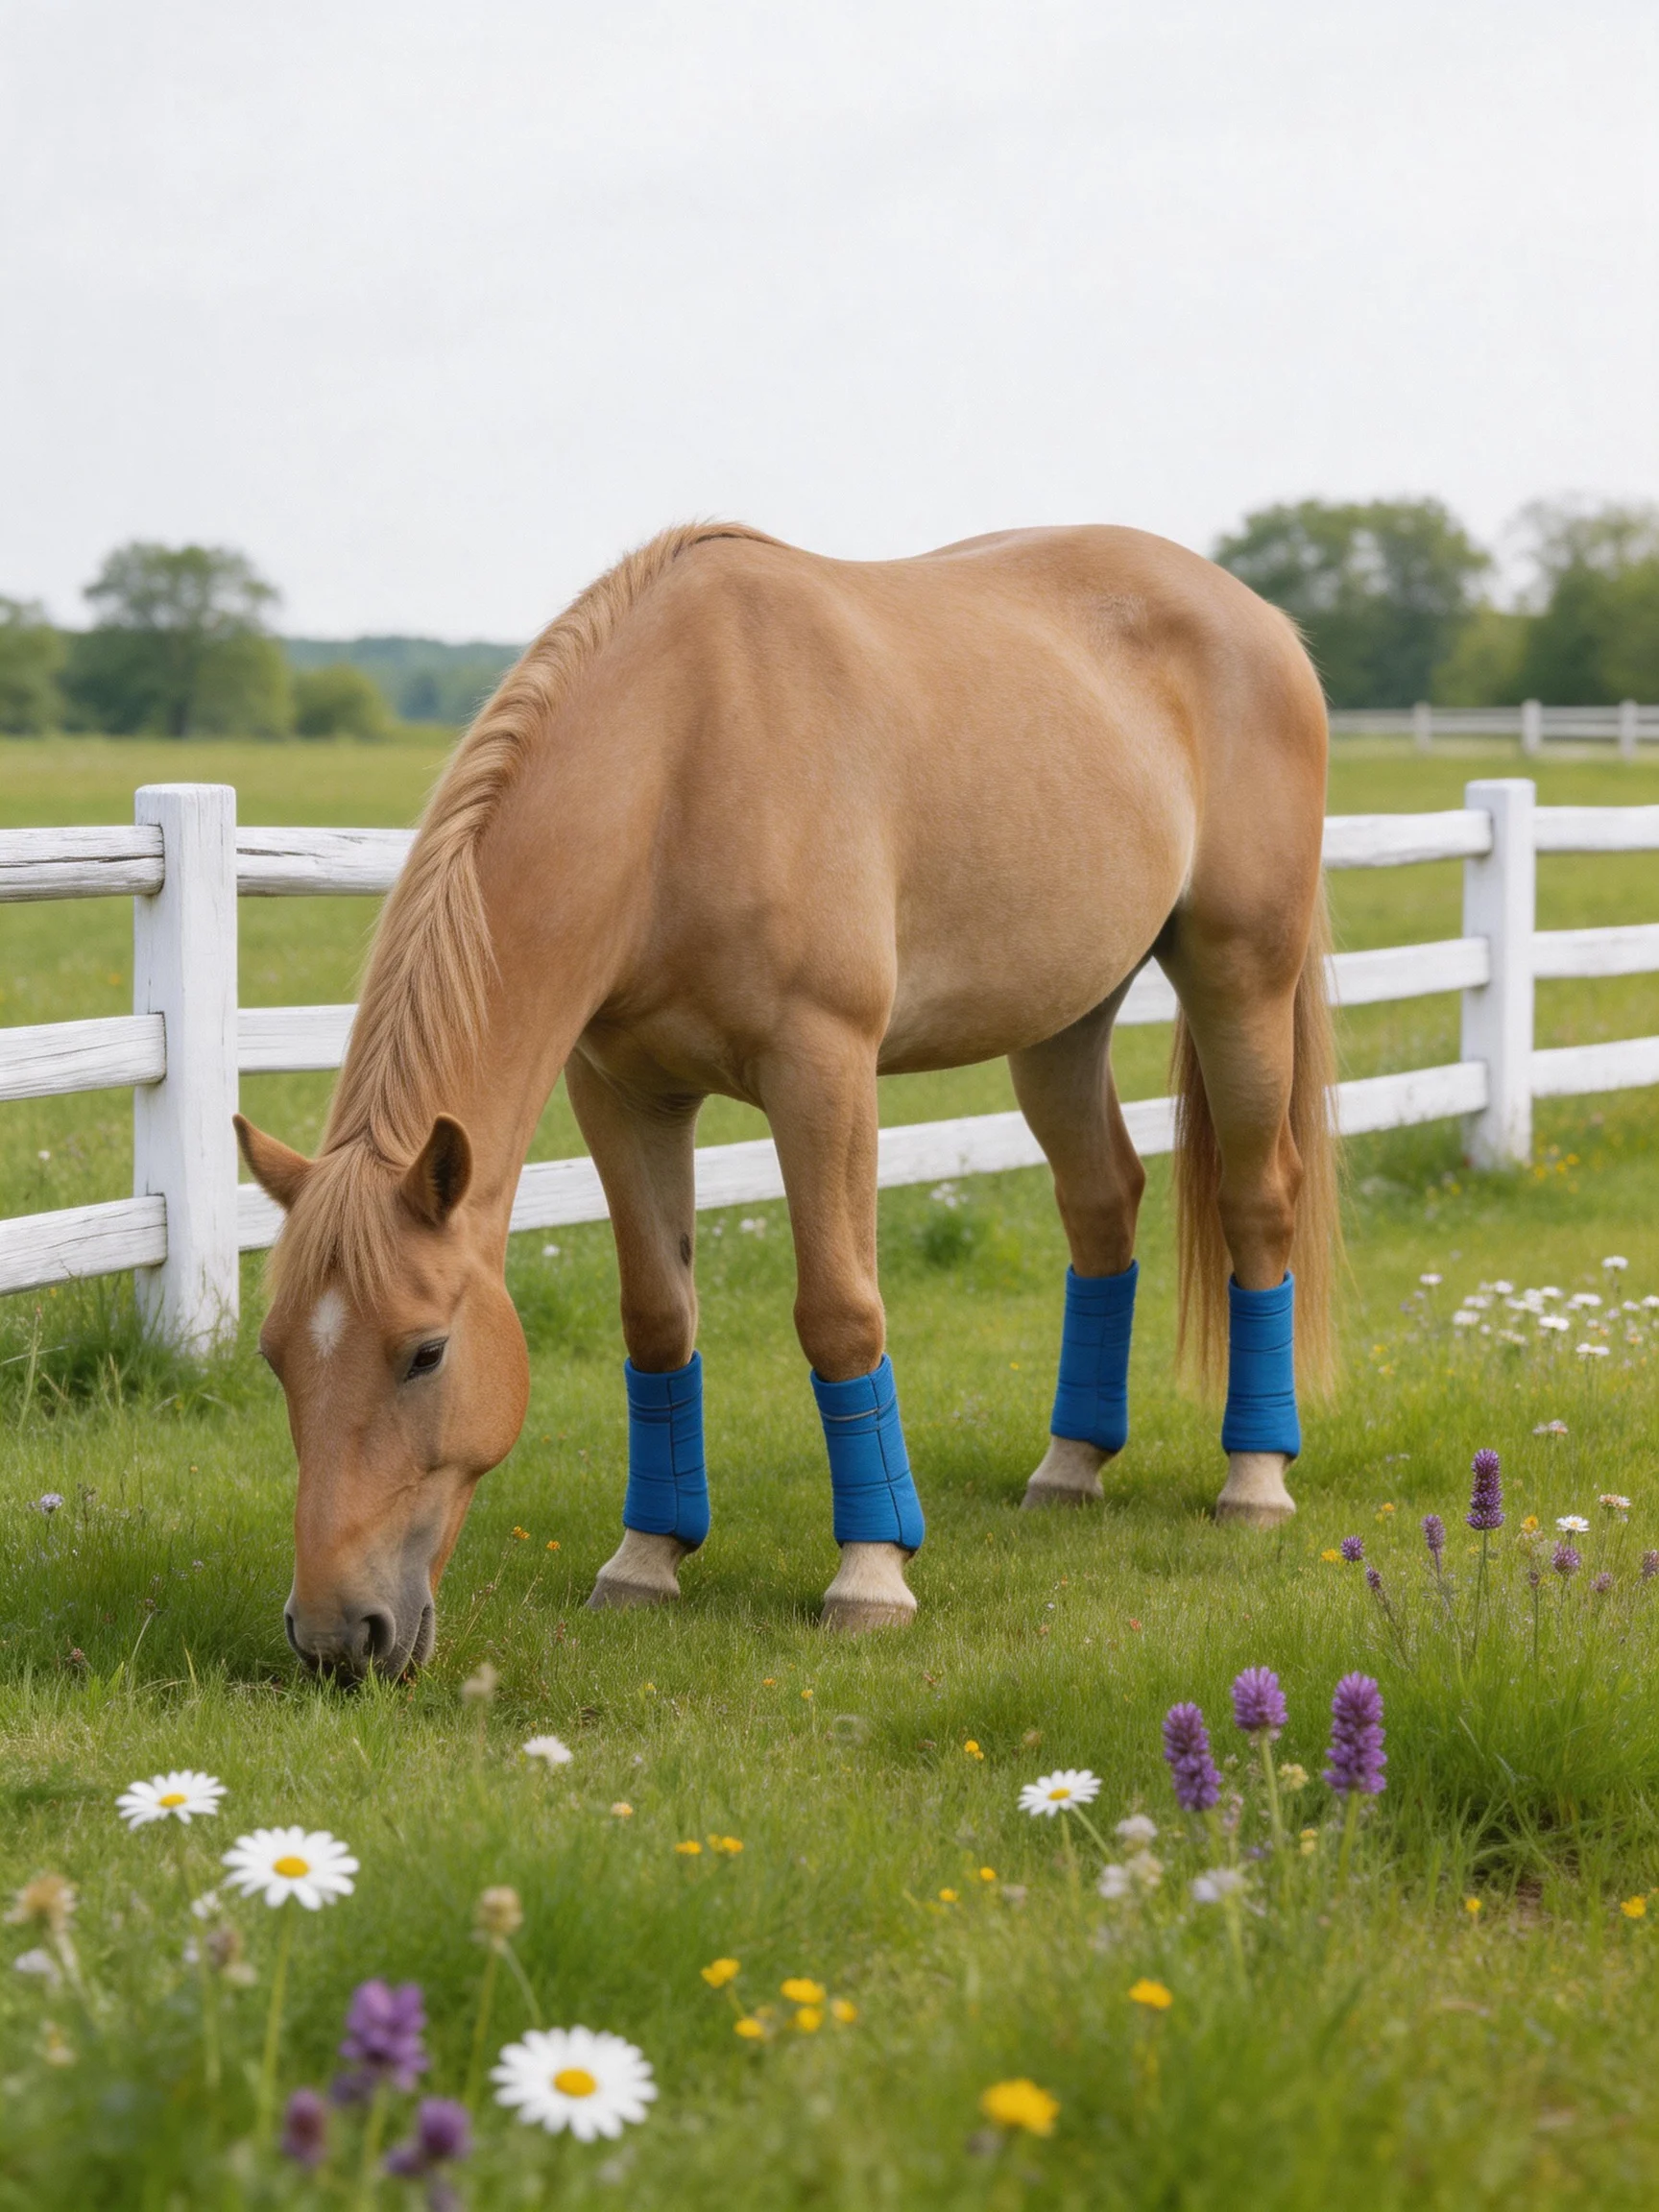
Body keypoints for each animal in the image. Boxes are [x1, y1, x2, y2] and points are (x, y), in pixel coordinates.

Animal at [235, 520, 1338, 1680]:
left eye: (427, 1353)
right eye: (274, 1356)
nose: (335, 1635)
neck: (682, 762)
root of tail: (1262, 620)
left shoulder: (823, 1070)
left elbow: (842, 1317)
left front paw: (872, 1575)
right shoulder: (623, 1092)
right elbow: (658, 1320)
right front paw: (646, 1559)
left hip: (1239, 976)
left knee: (1259, 1202)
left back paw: (1255, 1478)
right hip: (1063, 1021)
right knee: (1102, 1204)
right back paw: (1071, 1465)